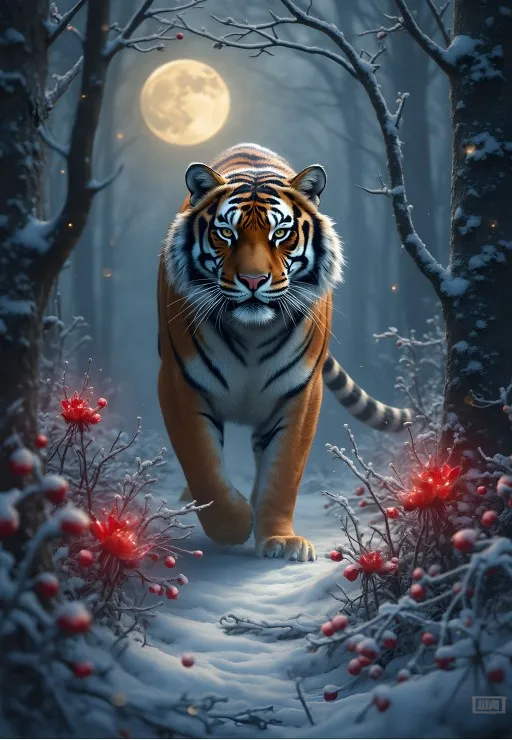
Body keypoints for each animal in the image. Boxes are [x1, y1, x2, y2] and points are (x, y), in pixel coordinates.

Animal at [157, 143, 413, 562]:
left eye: (281, 233)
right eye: (225, 232)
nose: (253, 280)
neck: (251, 333)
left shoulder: (300, 392)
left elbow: (283, 473)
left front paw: (279, 540)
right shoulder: (180, 383)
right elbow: (203, 466)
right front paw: (233, 523)